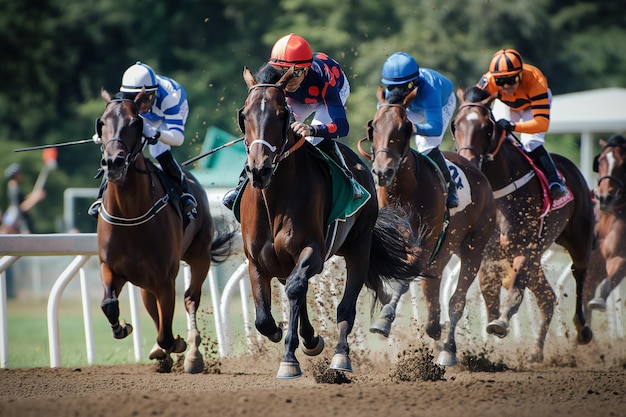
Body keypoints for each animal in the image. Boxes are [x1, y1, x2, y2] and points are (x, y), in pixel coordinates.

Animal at [95, 89, 234, 372]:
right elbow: (109, 304)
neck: (130, 216)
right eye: (101, 123)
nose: (113, 162)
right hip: (144, 281)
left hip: (199, 256)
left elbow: (167, 334)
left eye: (135, 123)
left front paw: (177, 346)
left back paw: (192, 354)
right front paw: (122, 327)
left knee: (190, 299)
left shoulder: (165, 278)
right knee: (152, 306)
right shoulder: (111, 267)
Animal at [236, 65, 426, 376]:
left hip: (359, 247)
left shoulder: (313, 251)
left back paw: (340, 356)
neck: (273, 198)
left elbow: (296, 288)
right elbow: (264, 317)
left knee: (344, 306)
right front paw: (283, 334)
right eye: (245, 114)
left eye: (282, 114)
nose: (259, 170)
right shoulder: (257, 260)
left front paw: (289, 358)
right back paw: (310, 339)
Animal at [358, 85, 494, 364]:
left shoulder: (426, 242)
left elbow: (405, 277)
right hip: (444, 250)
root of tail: (475, 169)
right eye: (374, 125)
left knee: (456, 300)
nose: (382, 172)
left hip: (473, 246)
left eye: (404, 127)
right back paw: (434, 328)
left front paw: (384, 320)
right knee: (432, 284)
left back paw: (448, 348)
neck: (405, 191)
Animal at [450, 87, 592, 360]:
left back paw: (583, 329)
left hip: (578, 240)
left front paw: (500, 323)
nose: (468, 160)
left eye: (487, 127)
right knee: (547, 297)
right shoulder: (488, 255)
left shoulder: (524, 248)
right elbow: (489, 296)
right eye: (455, 124)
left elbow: (514, 290)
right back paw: (536, 351)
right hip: (538, 258)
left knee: (580, 274)